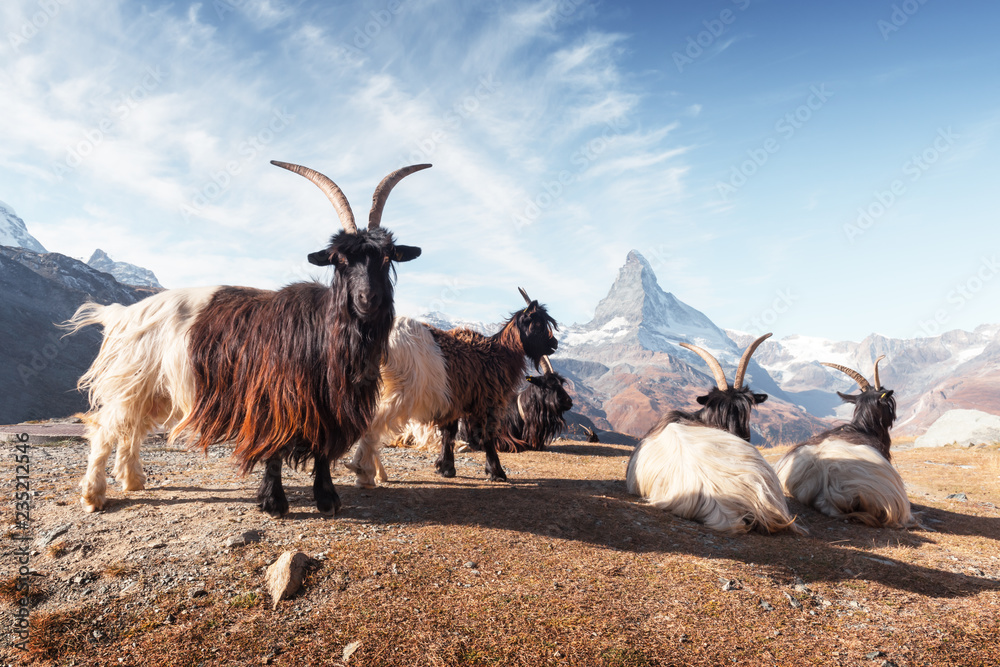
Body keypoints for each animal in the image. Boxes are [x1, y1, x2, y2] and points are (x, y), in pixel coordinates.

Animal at [62, 160, 430, 516]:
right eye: (339, 259)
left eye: (387, 258)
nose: (368, 299)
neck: (324, 332)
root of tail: (122, 314)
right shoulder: (273, 398)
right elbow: (274, 451)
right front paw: (274, 503)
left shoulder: (326, 405)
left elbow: (322, 451)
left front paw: (327, 500)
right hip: (131, 382)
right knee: (105, 430)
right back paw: (93, 495)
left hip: (153, 389)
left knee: (131, 430)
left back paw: (132, 479)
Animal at [348, 288, 560, 486]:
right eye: (538, 324)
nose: (554, 344)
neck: (500, 354)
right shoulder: (487, 401)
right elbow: (487, 436)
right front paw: (497, 472)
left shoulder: (454, 401)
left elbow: (448, 434)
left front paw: (445, 467)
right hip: (401, 391)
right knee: (372, 425)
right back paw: (363, 471)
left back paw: (376, 473)